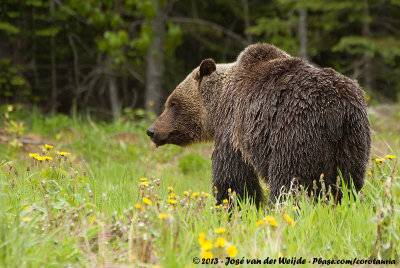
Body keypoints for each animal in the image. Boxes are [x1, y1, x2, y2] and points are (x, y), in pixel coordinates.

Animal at [147, 43, 372, 206]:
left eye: (173, 103)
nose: (151, 130)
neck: (218, 105)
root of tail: (336, 110)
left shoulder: (234, 128)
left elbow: (232, 177)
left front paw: (234, 206)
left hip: (295, 136)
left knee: (289, 184)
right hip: (352, 142)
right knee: (348, 183)